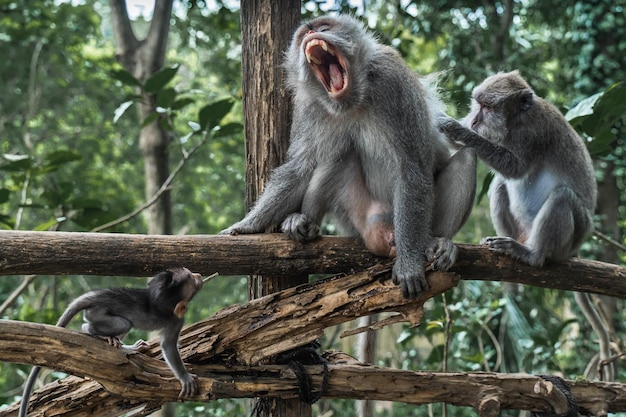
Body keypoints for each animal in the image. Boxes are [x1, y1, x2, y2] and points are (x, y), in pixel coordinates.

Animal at [19, 268, 202, 414]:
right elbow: (168, 345)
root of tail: (96, 297)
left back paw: (124, 347)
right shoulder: (176, 320)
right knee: (117, 324)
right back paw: (97, 334)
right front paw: (185, 377)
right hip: (97, 313)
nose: (198, 275)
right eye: (191, 278)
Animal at [434, 70, 596, 264]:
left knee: (562, 196)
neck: (514, 121)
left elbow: (515, 168)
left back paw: (533, 254)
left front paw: (457, 130)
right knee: (499, 184)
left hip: (573, 237)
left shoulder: (533, 130)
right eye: (478, 104)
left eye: (487, 107)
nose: (473, 122)